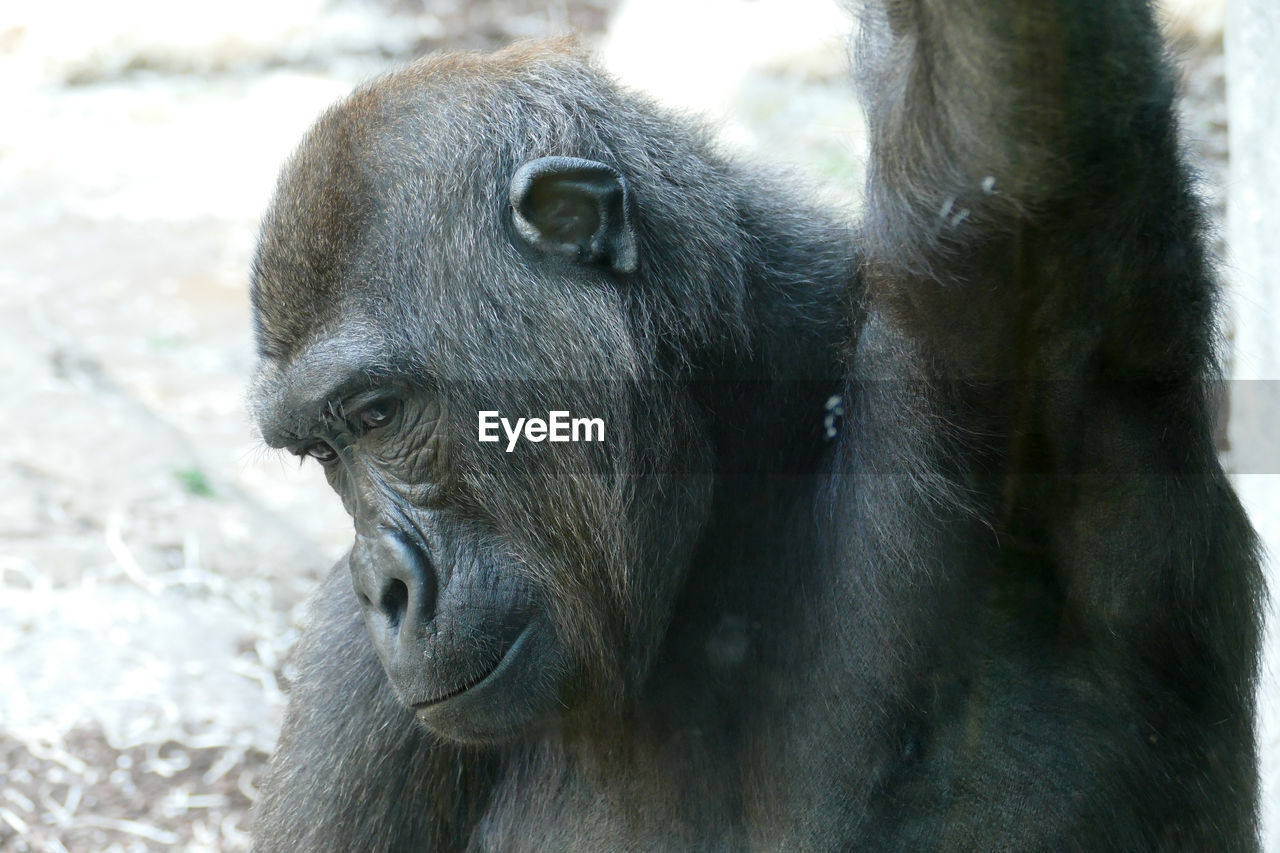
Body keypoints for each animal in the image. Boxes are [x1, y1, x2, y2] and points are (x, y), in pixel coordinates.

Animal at [247, 3, 1259, 845]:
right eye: (323, 451)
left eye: (380, 415)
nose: (379, 585)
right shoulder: (353, 680)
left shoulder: (1013, 366)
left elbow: (1021, 130)